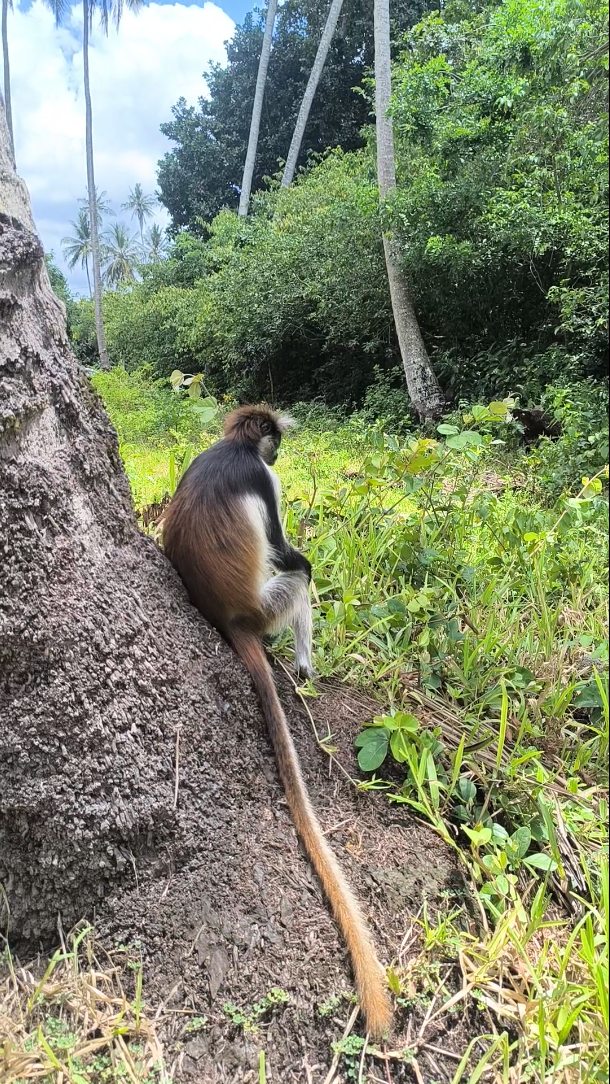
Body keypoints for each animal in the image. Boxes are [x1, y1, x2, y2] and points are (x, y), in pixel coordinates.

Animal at [161, 404, 392, 1039]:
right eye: (274, 446)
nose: (280, 452)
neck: (231, 447)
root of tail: (229, 617)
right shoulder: (261, 480)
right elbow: (292, 551)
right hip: (267, 603)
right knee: (299, 577)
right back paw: (307, 667)